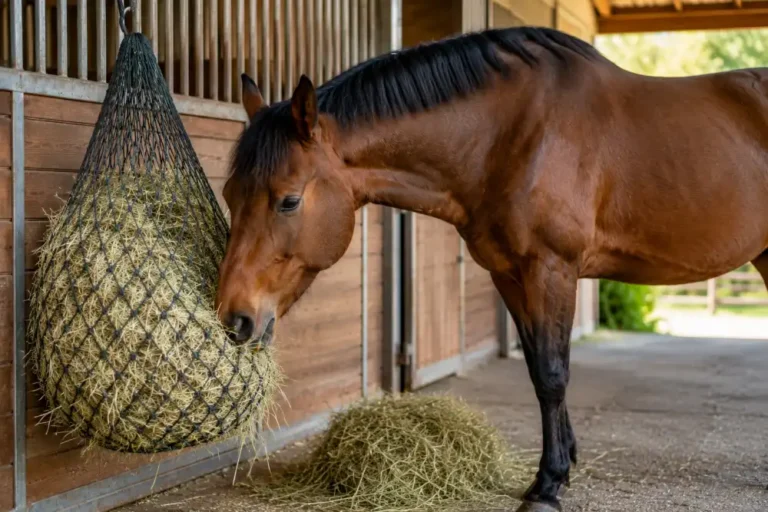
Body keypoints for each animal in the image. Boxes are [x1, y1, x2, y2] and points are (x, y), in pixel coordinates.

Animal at [215, 26, 768, 511]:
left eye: (288, 201)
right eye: (230, 193)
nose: (234, 318)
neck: (514, 135)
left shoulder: (551, 269)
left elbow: (553, 373)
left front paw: (547, 485)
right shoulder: (509, 273)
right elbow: (537, 368)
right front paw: (564, 463)